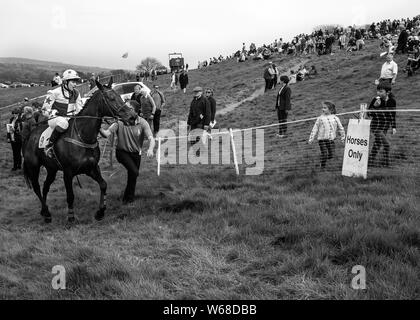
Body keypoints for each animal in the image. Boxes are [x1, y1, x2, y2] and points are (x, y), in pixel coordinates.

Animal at [22, 78, 137, 222]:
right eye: (111, 98)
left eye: (119, 96)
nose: (132, 116)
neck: (82, 136)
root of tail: (29, 136)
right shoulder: (68, 172)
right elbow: (70, 195)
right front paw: (71, 216)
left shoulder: (91, 168)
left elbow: (103, 185)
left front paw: (100, 212)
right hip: (33, 167)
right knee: (37, 187)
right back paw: (47, 214)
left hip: (51, 169)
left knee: (45, 186)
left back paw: (44, 211)